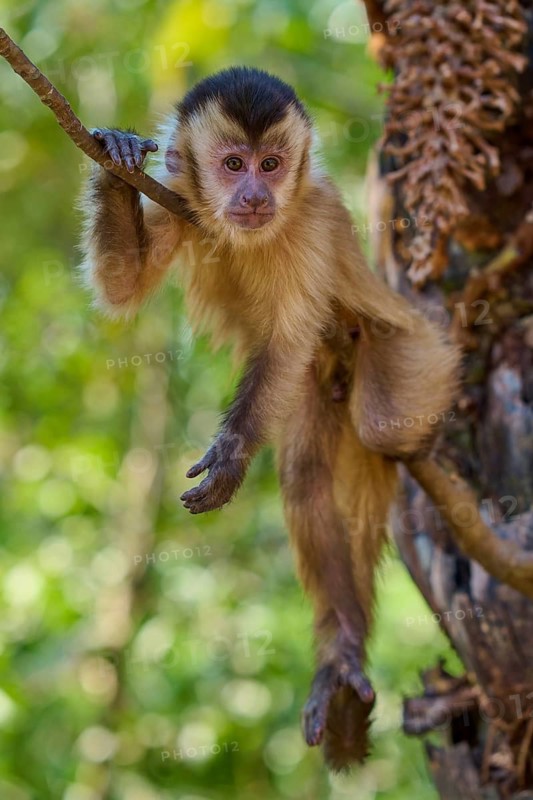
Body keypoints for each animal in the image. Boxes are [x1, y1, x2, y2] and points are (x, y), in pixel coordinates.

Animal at [80, 66, 460, 770]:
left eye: (271, 164)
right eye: (233, 165)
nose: (256, 193)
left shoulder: (309, 218)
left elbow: (285, 342)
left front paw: (230, 454)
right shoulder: (181, 198)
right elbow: (122, 286)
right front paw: (115, 162)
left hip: (420, 353)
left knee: (378, 426)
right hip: (315, 389)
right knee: (308, 477)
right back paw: (342, 656)